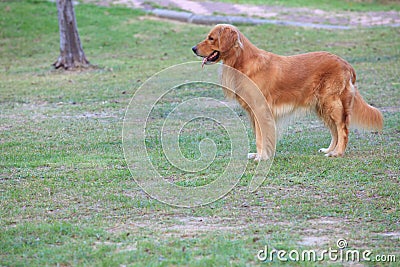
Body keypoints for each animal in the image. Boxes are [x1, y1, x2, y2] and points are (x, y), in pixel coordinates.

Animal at [192, 24, 382, 160]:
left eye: (211, 38)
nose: (193, 48)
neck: (242, 62)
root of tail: (346, 64)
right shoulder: (254, 112)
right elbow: (259, 136)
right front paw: (259, 154)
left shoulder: (260, 110)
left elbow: (261, 137)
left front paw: (261, 157)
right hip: (322, 106)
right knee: (334, 130)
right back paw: (329, 149)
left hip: (332, 103)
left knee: (342, 128)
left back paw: (337, 152)